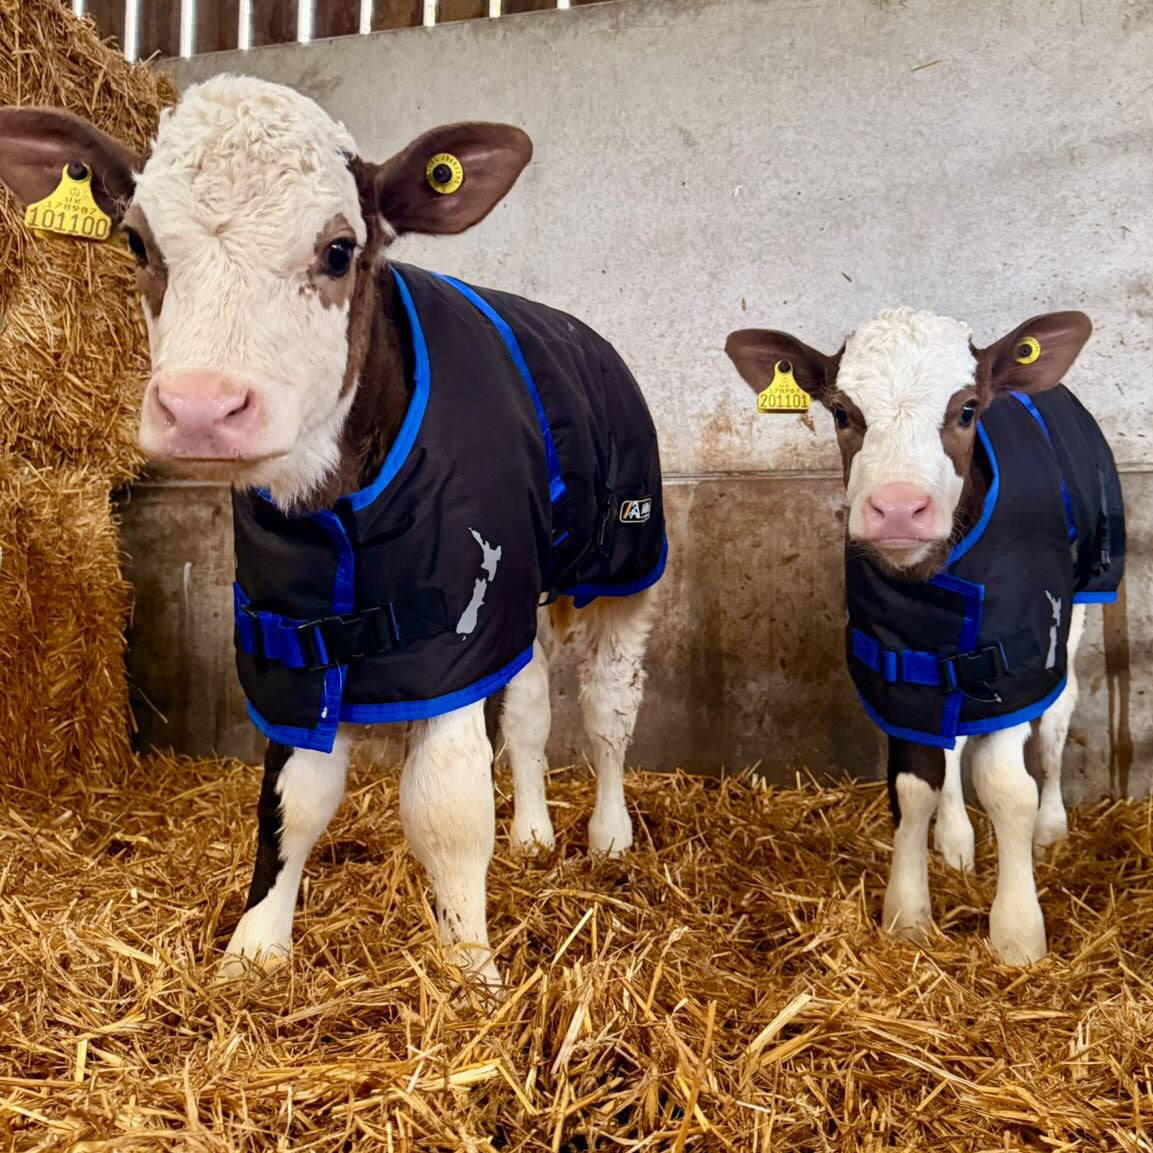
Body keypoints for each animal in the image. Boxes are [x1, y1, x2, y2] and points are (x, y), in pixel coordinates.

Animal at [0, 75, 668, 987]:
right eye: (136, 241)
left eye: (340, 249)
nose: (201, 407)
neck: (335, 506)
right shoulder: (290, 635)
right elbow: (296, 796)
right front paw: (252, 951)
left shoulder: (452, 627)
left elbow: (446, 805)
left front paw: (470, 969)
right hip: (521, 584)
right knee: (530, 702)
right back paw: (533, 833)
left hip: (625, 561)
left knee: (608, 705)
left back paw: (608, 835)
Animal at [726, 308, 1124, 965]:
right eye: (842, 411)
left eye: (966, 410)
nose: (897, 508)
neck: (933, 581)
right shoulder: (896, 660)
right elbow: (915, 785)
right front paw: (908, 915)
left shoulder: (1017, 660)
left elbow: (1007, 786)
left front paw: (1017, 934)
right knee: (954, 737)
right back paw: (956, 838)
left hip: (1084, 599)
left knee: (1057, 718)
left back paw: (1050, 828)